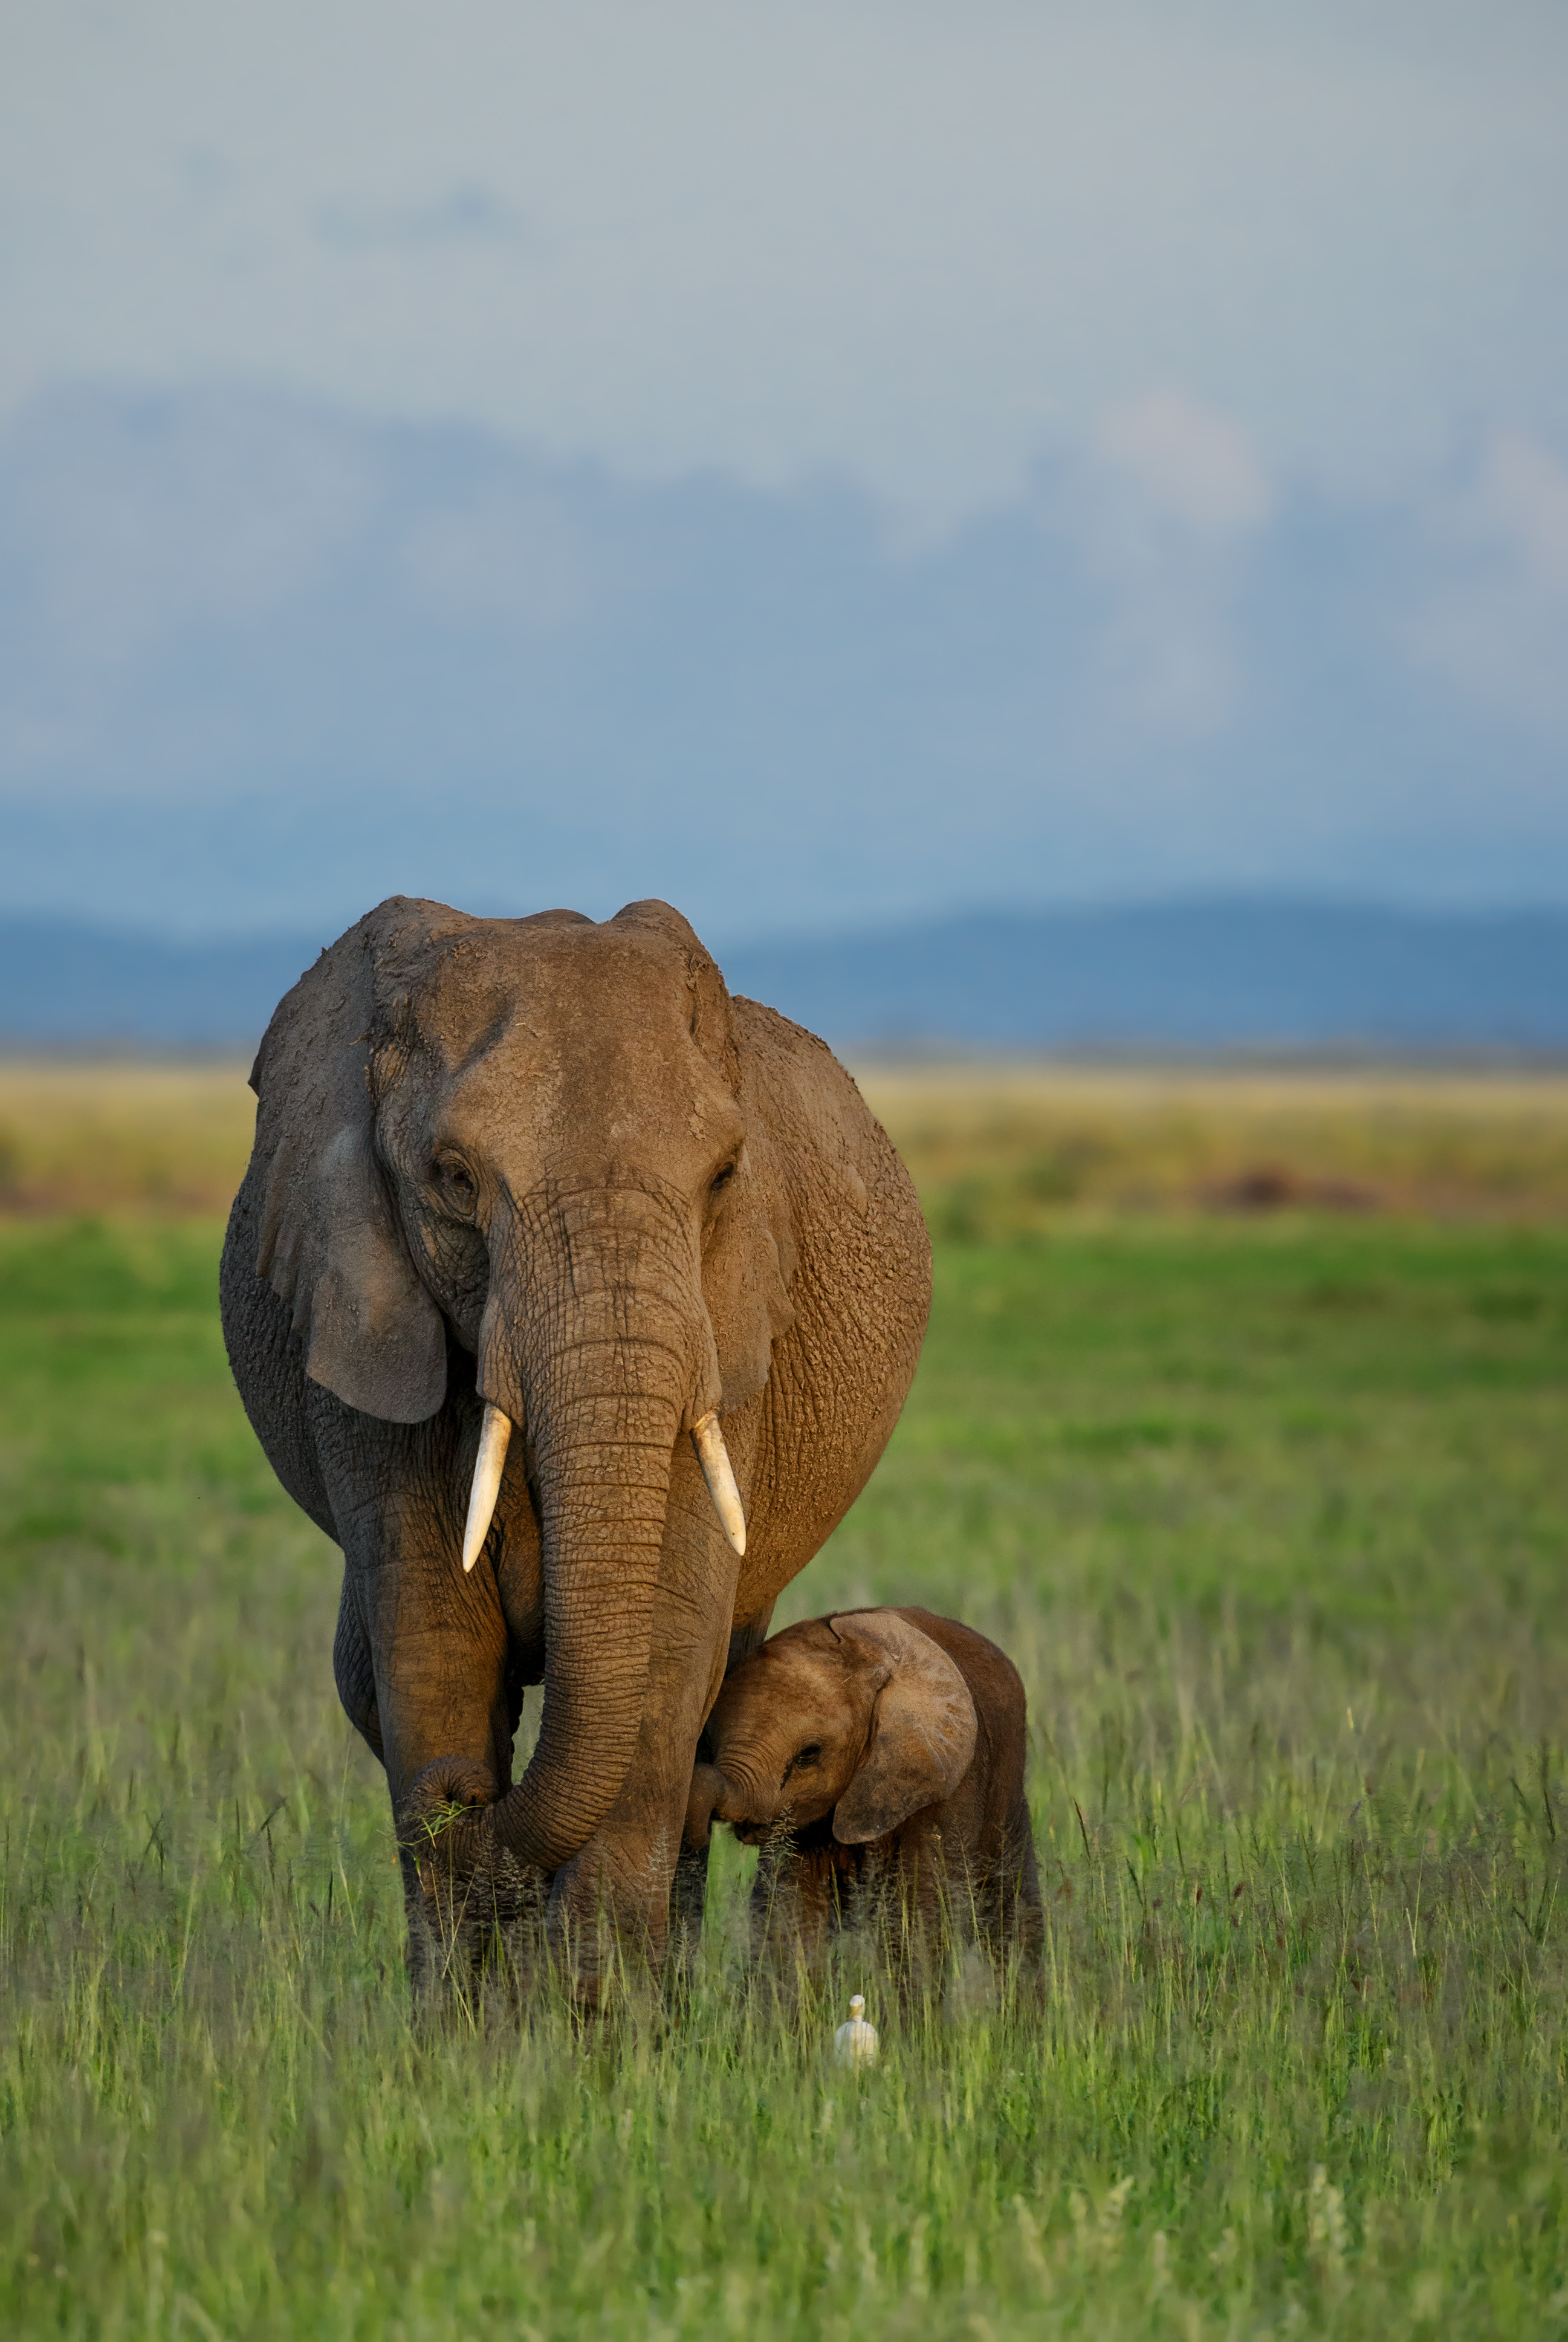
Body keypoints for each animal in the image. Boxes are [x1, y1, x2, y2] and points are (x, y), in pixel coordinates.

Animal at [218, 896, 931, 1988]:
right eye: (453, 1178)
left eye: (724, 1175)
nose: (462, 1794)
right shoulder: (358, 1319)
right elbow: (431, 1642)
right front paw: (468, 2017)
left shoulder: (725, 1330)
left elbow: (666, 1651)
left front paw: (598, 2014)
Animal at [683, 1607, 1043, 1969]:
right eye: (710, 1739)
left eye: (808, 1754)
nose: (697, 1837)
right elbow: (789, 1917)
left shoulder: (951, 1784)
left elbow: (918, 1916)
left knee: (1013, 1913)